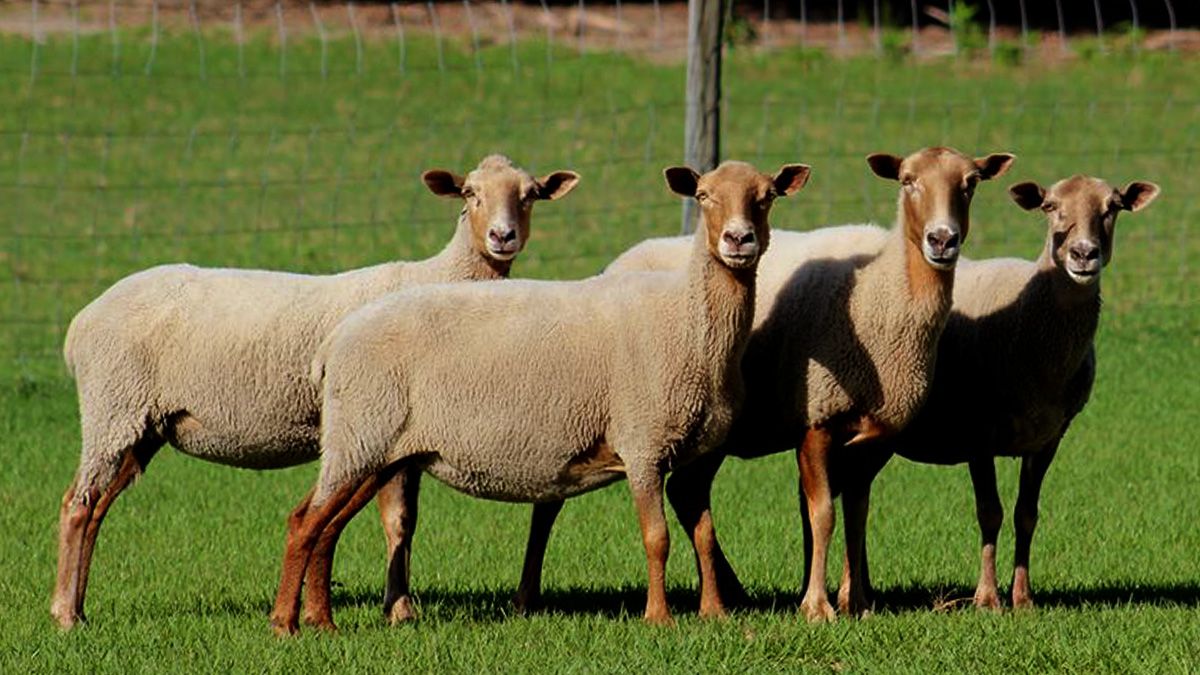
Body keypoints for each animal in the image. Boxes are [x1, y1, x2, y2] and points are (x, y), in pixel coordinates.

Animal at [51, 154, 580, 629]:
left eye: (530, 194)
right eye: (470, 193)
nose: (502, 237)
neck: (443, 277)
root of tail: (83, 320)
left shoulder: (404, 436)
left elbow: (403, 522)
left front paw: (395, 607)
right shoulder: (382, 427)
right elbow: (393, 519)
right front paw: (399, 611)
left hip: (143, 425)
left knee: (97, 506)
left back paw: (77, 606)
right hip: (113, 407)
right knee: (78, 504)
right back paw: (65, 615)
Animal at [270, 158, 816, 629]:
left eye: (766, 198)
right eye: (703, 196)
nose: (738, 240)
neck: (687, 320)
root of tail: (335, 340)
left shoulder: (694, 451)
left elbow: (703, 532)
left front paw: (714, 614)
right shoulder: (642, 441)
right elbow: (656, 537)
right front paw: (658, 618)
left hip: (374, 448)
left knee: (324, 525)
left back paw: (320, 620)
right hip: (362, 437)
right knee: (304, 523)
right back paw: (285, 624)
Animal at [511, 144, 1017, 619]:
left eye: (971, 182)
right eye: (908, 180)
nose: (942, 239)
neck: (886, 289)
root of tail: (621, 259)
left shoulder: (876, 434)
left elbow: (857, 515)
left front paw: (857, 600)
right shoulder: (815, 419)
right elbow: (822, 513)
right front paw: (817, 605)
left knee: (685, 494)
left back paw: (728, 592)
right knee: (555, 499)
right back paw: (527, 595)